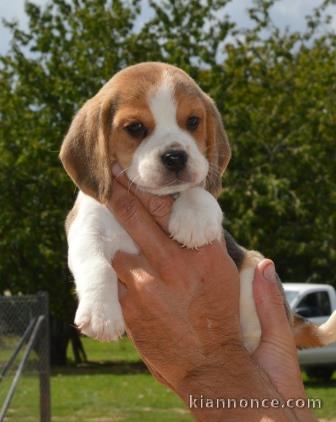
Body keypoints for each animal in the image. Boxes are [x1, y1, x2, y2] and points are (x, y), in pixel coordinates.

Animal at [60, 61, 336, 352]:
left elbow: (199, 189)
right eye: (135, 127)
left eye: (193, 121)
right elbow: (96, 264)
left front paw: (194, 219)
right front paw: (101, 314)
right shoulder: (85, 228)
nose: (175, 157)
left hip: (255, 260)